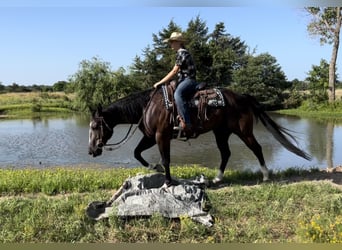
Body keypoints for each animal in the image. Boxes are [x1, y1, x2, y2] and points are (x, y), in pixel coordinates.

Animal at [87, 86, 310, 186]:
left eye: (96, 126)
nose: (91, 150)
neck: (146, 107)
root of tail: (242, 96)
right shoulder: (150, 137)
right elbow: (136, 153)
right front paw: (155, 167)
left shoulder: (161, 136)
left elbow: (166, 158)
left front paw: (168, 181)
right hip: (221, 132)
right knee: (226, 153)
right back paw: (217, 178)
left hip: (243, 131)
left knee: (256, 148)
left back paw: (265, 175)